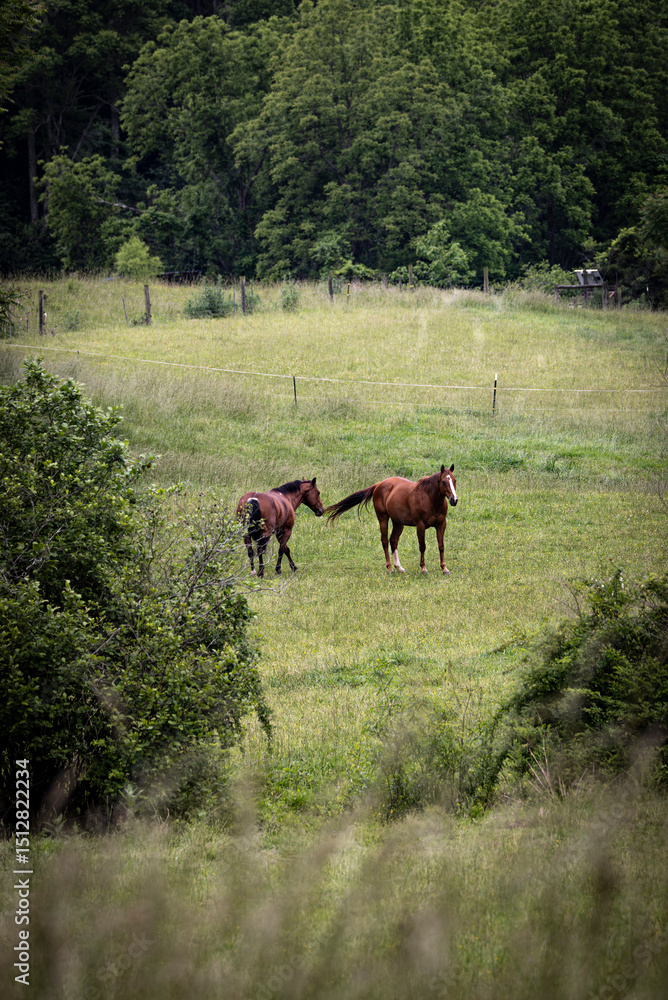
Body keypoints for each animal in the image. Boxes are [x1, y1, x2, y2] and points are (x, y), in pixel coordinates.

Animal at [324, 465, 458, 574]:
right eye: (444, 481)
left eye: (454, 480)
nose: (454, 500)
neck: (429, 498)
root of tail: (378, 484)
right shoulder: (420, 525)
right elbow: (422, 546)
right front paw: (423, 568)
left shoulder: (441, 524)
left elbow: (441, 546)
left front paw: (444, 568)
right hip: (383, 518)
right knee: (384, 541)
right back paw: (389, 567)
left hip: (398, 523)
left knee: (393, 540)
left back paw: (399, 567)